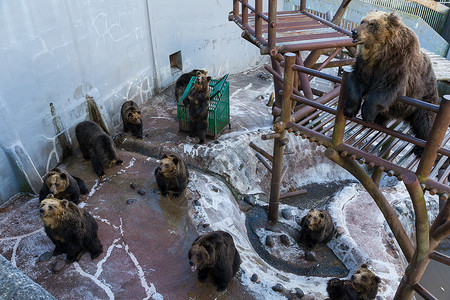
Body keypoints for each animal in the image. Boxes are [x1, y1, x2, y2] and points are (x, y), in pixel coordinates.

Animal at [342, 10, 438, 156]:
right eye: (362, 21)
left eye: (372, 24)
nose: (354, 32)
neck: (380, 51)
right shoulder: (365, 64)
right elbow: (357, 81)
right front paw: (350, 110)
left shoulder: (397, 63)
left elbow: (386, 88)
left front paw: (367, 114)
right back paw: (380, 119)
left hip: (424, 98)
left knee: (425, 121)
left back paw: (421, 148)